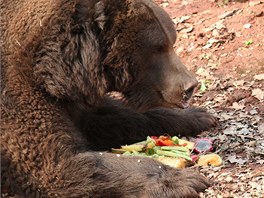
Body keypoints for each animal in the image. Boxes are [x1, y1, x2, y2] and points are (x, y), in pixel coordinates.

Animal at [0, 0, 217, 196]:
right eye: (158, 47)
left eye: (172, 41)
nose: (190, 86)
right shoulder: (16, 97)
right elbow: (58, 165)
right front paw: (184, 179)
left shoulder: (73, 101)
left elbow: (113, 118)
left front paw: (198, 115)